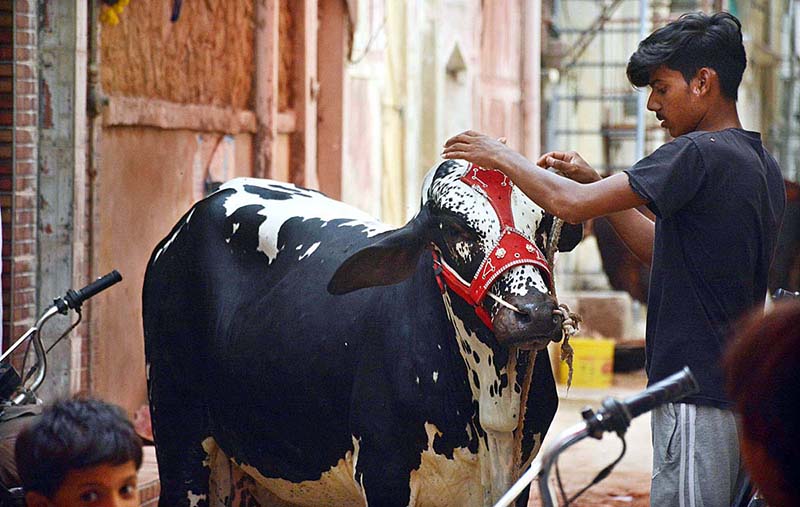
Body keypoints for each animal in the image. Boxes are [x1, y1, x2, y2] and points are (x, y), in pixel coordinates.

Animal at [142, 160, 580, 507]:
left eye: (543, 222)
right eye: (455, 229)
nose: (534, 313)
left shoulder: (521, 476)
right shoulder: (383, 471)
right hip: (179, 436)